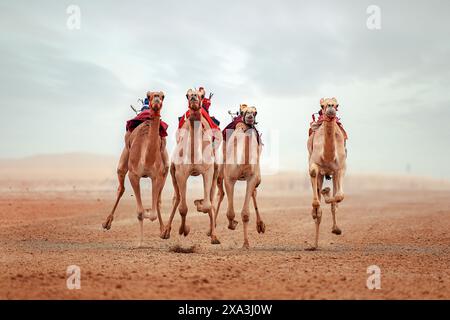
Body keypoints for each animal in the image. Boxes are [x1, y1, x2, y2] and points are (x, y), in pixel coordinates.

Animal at [102, 91, 169, 246]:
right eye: (150, 95)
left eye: (162, 96)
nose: (156, 100)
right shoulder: (133, 175)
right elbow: (139, 212)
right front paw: (140, 243)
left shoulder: (156, 176)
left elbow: (153, 212)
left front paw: (149, 212)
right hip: (124, 158)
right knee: (121, 187)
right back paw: (107, 223)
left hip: (165, 168)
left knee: (159, 199)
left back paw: (164, 231)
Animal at [162, 89, 221, 244]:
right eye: (187, 95)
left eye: (201, 95)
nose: (194, 97)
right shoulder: (180, 173)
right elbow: (182, 208)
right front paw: (184, 229)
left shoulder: (208, 171)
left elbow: (207, 205)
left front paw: (199, 204)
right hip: (172, 172)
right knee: (176, 199)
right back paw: (166, 231)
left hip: (216, 172)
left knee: (212, 201)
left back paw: (213, 234)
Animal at [214, 105, 264, 248]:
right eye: (243, 111)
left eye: (255, 112)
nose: (250, 116)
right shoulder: (229, 178)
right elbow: (230, 213)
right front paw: (232, 224)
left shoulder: (252, 178)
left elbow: (245, 213)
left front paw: (246, 243)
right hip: (220, 171)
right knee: (220, 194)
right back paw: (213, 233)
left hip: (256, 175)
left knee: (254, 192)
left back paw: (260, 225)